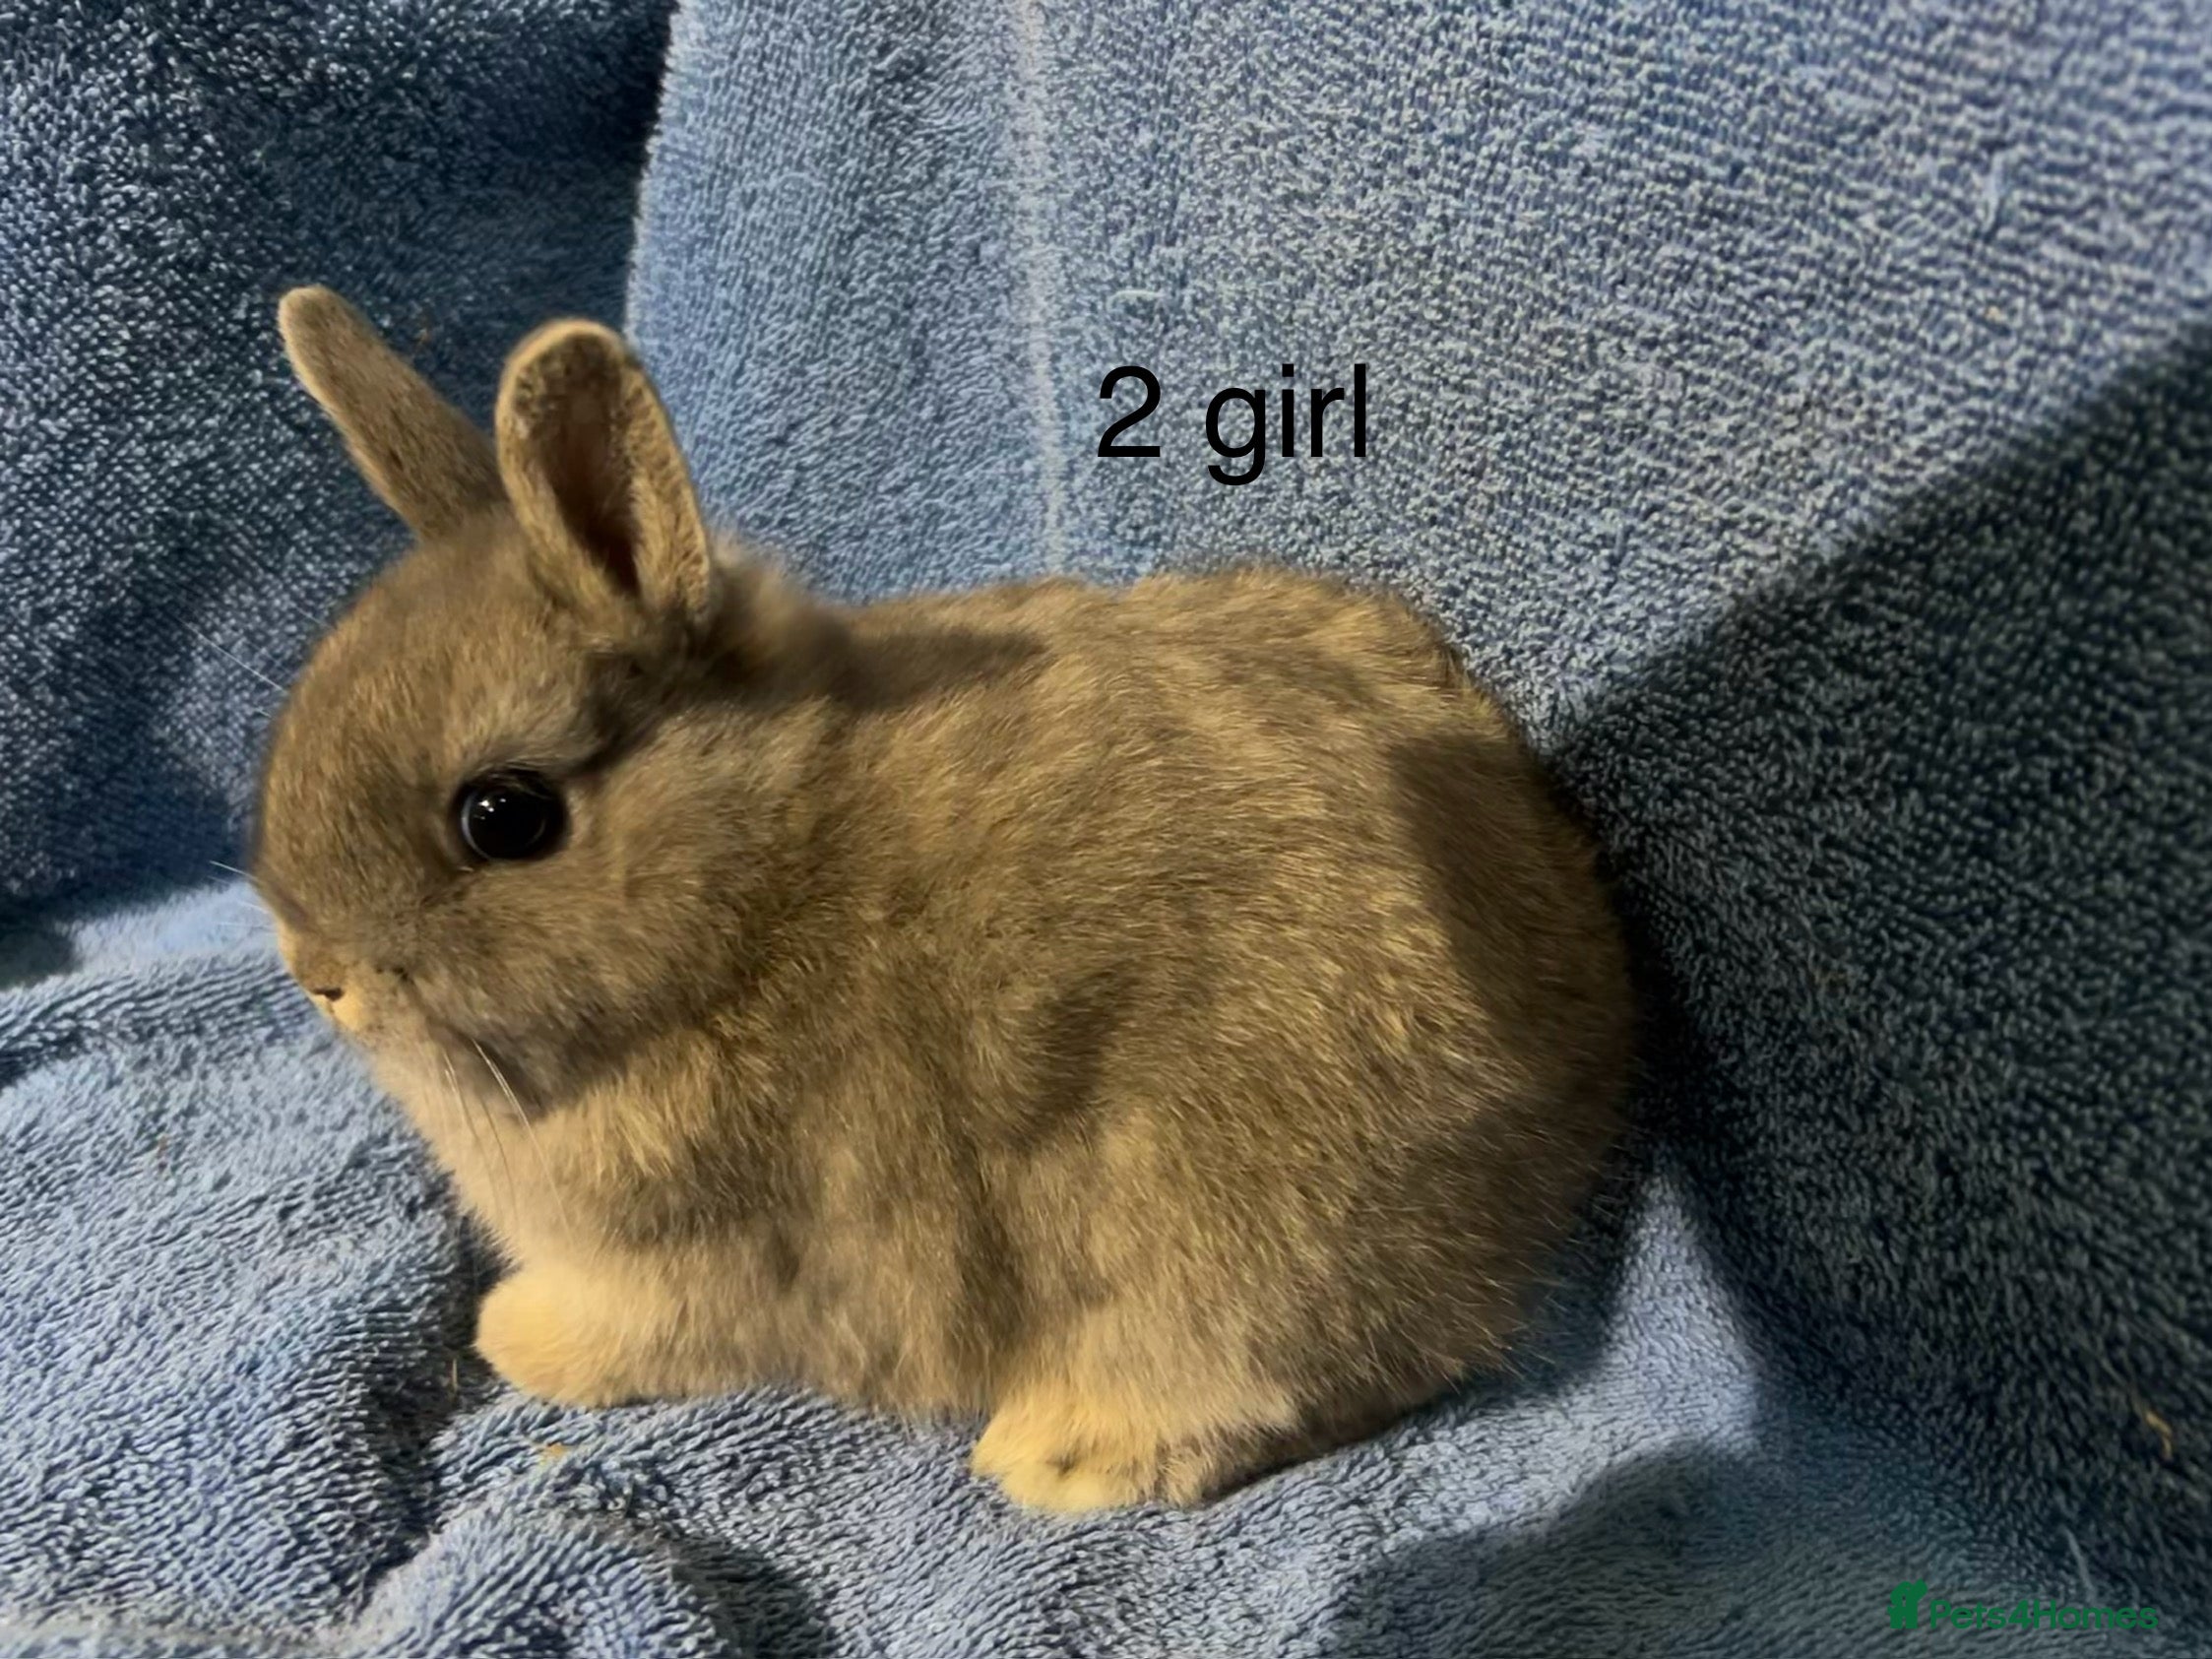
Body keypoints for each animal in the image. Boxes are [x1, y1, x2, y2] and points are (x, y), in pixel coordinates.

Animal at [252, 285, 1636, 1513]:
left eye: (506, 816)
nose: (321, 976)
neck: (753, 890)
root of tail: (1577, 1069)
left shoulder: (704, 1262)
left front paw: (511, 1335)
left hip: (1227, 1238)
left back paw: (1063, 1452)